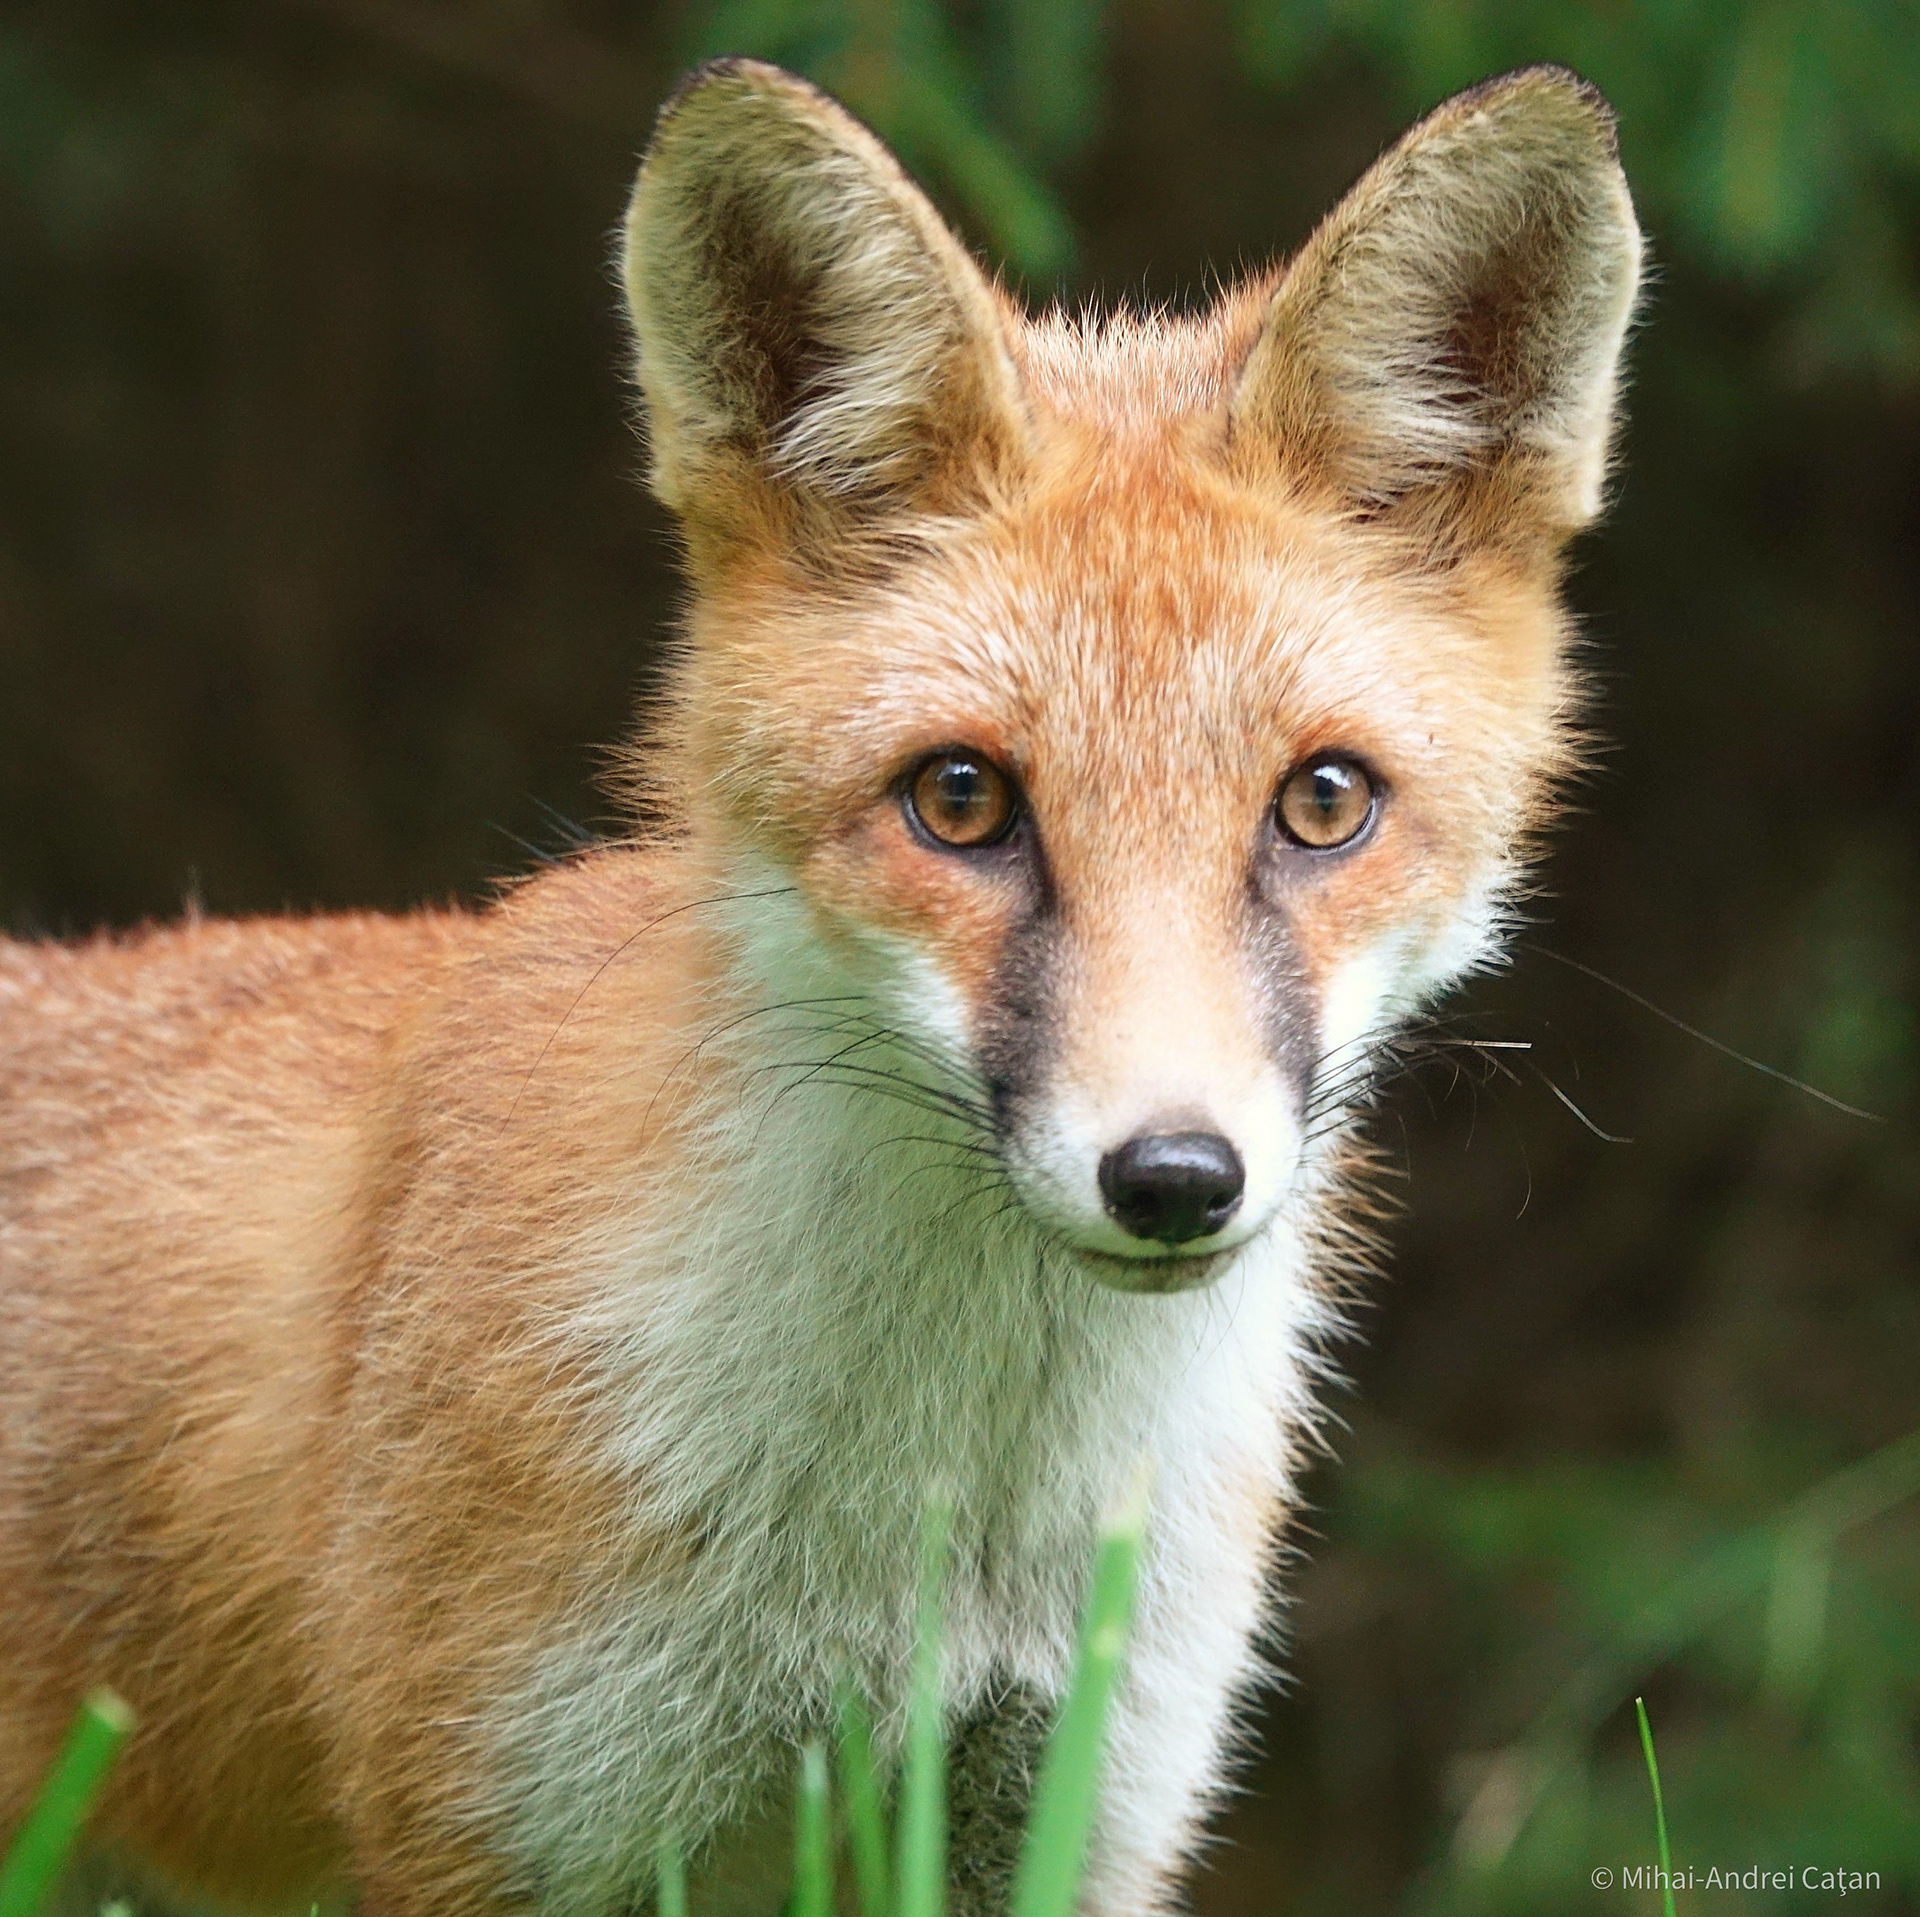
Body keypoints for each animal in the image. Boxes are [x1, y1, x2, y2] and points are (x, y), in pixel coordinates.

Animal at [0, 55, 1641, 1917]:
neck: (941, 1519)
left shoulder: (1071, 1806)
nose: (1171, 1177)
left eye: (1324, 802)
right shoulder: (508, 1818)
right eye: (962, 800)